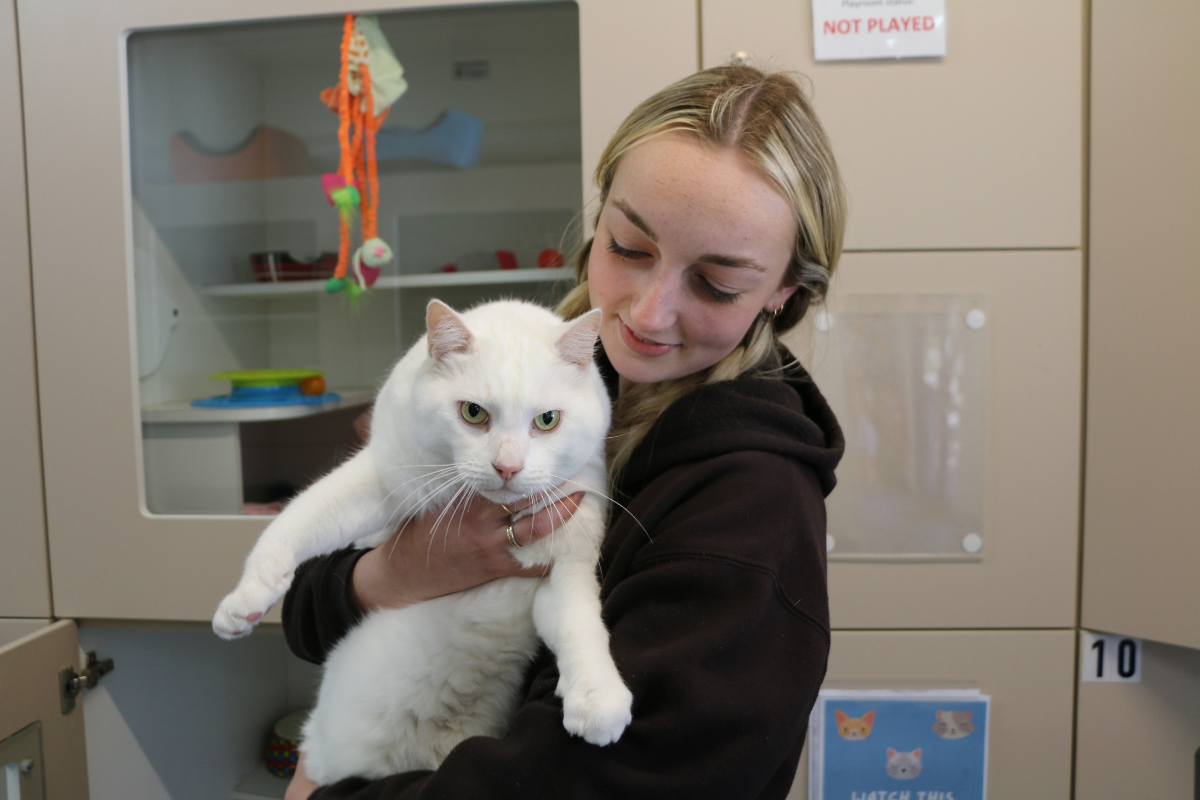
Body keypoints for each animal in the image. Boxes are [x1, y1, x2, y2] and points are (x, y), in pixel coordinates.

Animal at [213, 298, 638, 782]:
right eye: (473, 413)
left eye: (547, 420)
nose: (507, 467)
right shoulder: (381, 477)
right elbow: (299, 519)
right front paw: (244, 601)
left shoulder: (564, 566)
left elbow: (579, 622)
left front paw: (598, 698)